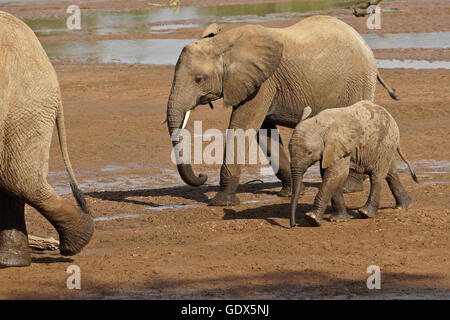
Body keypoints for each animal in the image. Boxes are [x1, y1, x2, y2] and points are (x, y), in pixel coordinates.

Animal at [165, 15, 398, 206]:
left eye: (199, 79)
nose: (202, 177)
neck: (223, 43)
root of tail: (364, 42)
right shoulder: (260, 84)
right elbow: (265, 133)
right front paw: (291, 193)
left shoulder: (263, 84)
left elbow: (242, 126)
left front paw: (221, 202)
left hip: (359, 82)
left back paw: (350, 187)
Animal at [288, 100, 418, 228]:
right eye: (289, 149)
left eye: (309, 152)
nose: (293, 225)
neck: (320, 122)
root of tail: (391, 117)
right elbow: (331, 175)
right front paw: (339, 220)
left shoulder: (341, 145)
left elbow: (336, 174)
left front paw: (312, 219)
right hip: (385, 144)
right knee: (390, 173)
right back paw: (404, 206)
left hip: (386, 140)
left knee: (377, 175)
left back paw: (366, 213)